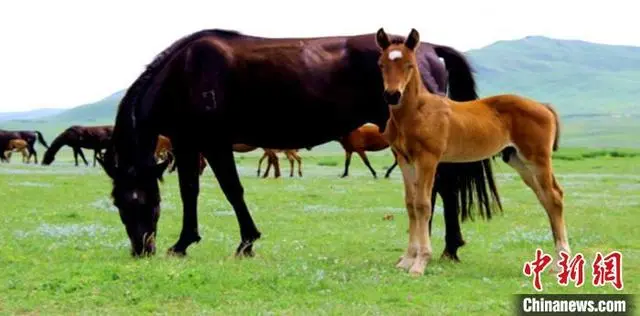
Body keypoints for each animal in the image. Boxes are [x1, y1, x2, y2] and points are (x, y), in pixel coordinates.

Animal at [97, 28, 502, 260]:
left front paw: (240, 242)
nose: (141, 249)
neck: (184, 74)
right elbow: (191, 192)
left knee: (446, 186)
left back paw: (450, 247)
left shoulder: (211, 144)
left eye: (140, 199)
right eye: (118, 202)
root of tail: (431, 49)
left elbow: (229, 190)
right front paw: (188, 242)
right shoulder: (187, 145)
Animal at [376, 28, 564, 276]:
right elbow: (410, 204)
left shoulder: (428, 159)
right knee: (546, 199)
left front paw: (419, 263)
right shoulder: (404, 160)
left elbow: (423, 205)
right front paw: (407, 260)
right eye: (381, 64)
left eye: (409, 64)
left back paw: (560, 262)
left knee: (554, 197)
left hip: (538, 159)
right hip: (519, 161)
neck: (416, 112)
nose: (392, 95)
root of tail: (544, 106)